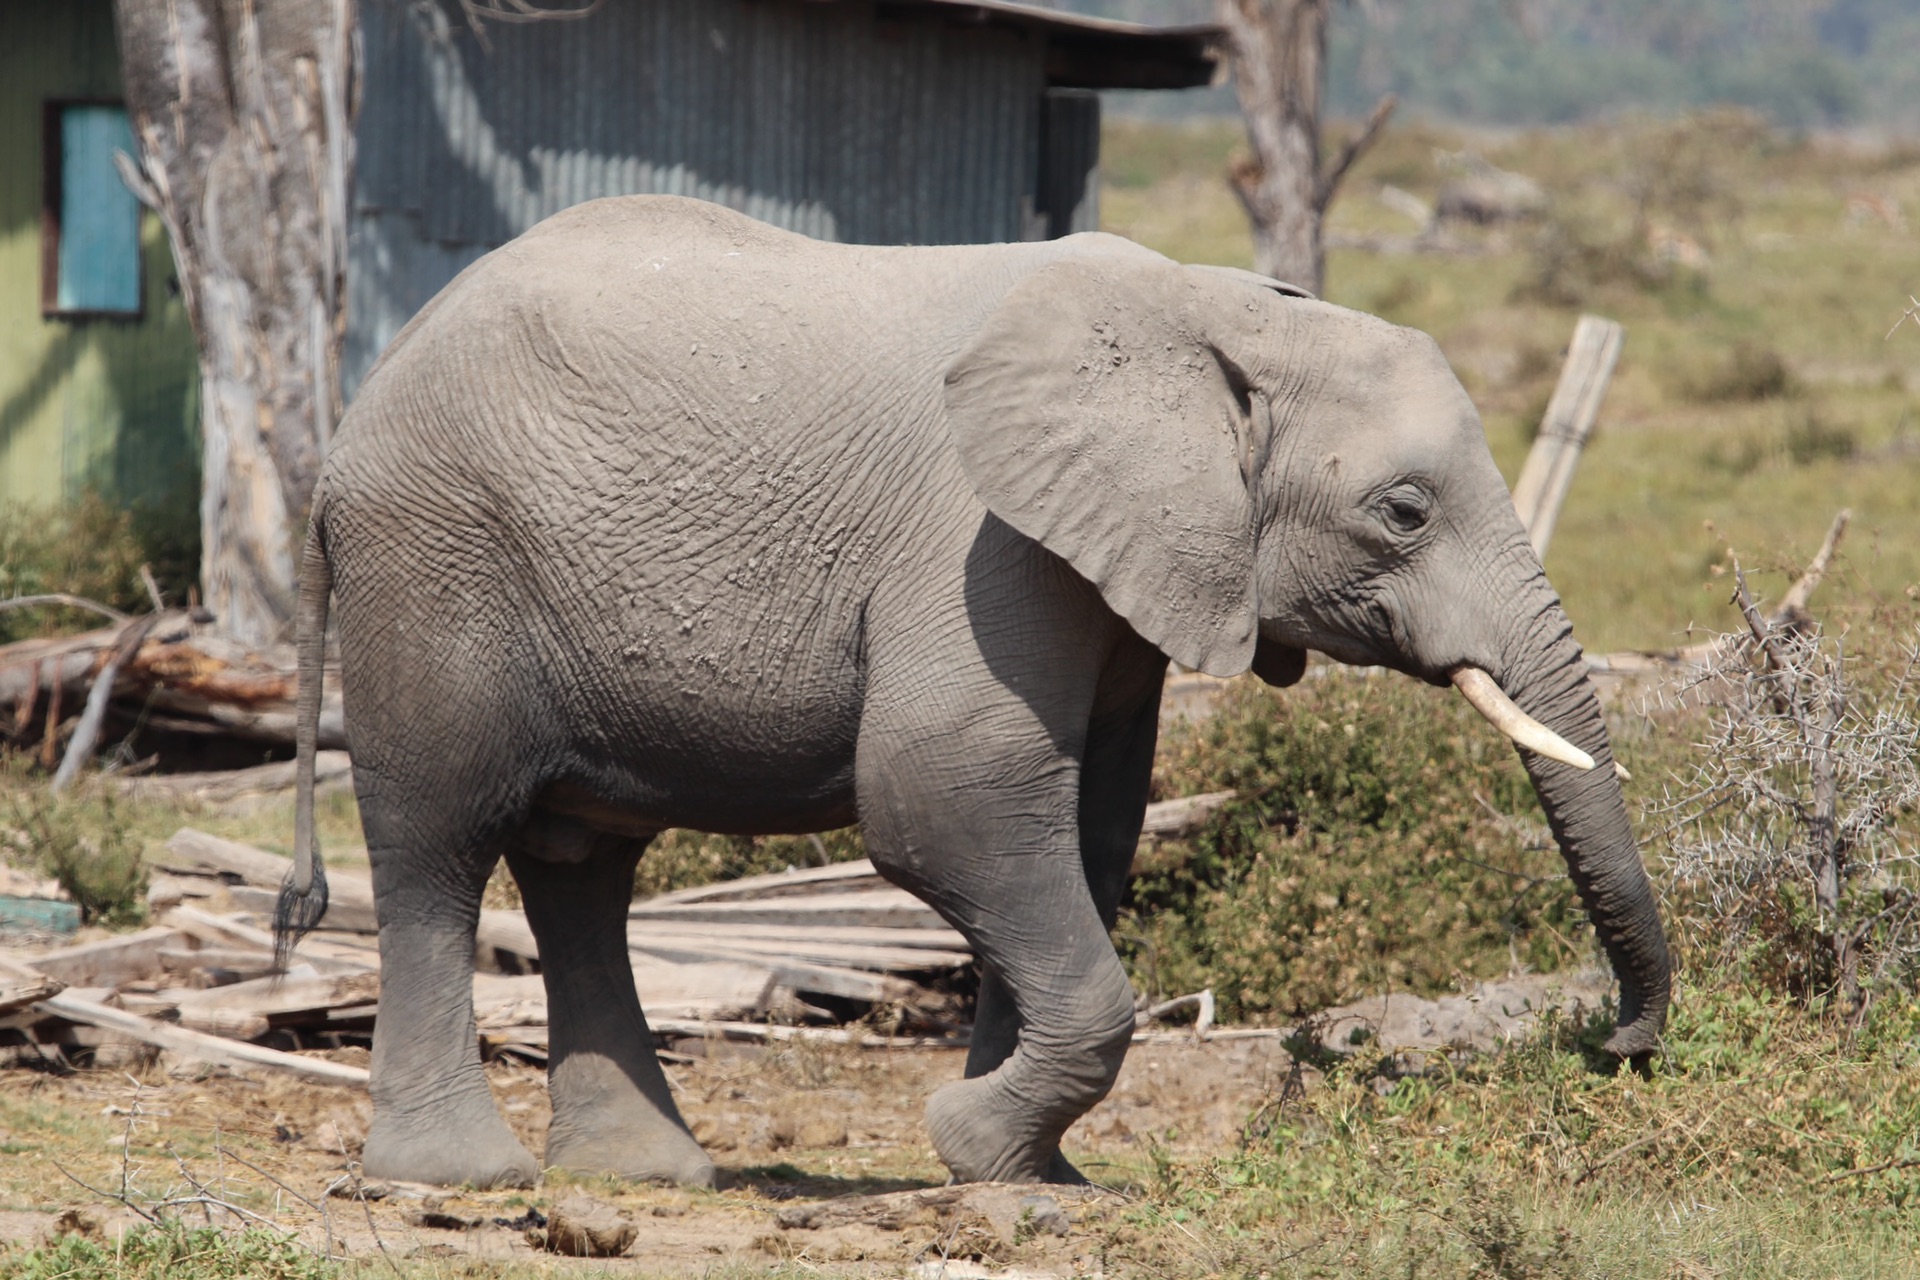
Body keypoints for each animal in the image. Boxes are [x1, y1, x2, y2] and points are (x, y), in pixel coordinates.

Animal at [278, 192, 1674, 1189]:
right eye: (1403, 510)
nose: (1616, 1045)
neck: (1209, 311)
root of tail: (344, 433)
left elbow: (1082, 828)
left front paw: (1033, 1178)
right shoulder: (981, 538)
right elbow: (945, 798)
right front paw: (966, 1140)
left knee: (583, 864)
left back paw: (649, 1175)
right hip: (433, 557)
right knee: (438, 846)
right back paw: (455, 1178)